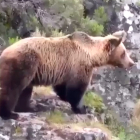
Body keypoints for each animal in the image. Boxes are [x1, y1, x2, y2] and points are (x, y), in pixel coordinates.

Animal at [0, 30, 135, 120]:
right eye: (123, 53)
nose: (132, 63)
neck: (91, 55)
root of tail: (4, 52)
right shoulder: (79, 65)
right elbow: (76, 89)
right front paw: (82, 108)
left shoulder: (64, 70)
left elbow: (62, 87)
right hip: (25, 62)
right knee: (13, 87)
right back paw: (10, 113)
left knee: (25, 90)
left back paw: (27, 108)